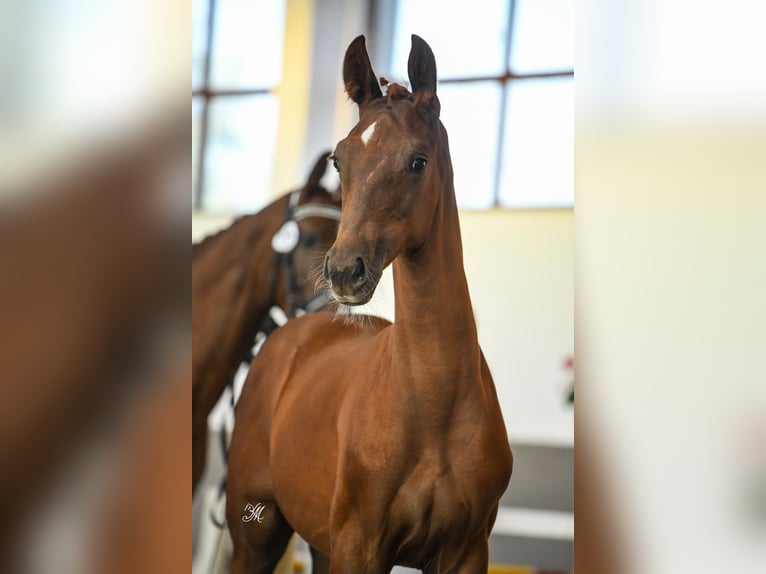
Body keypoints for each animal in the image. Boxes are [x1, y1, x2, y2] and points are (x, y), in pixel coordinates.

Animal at [228, 36, 516, 574]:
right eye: (340, 161)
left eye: (418, 160)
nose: (344, 271)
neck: (432, 406)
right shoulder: (359, 545)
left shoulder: (466, 551)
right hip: (257, 531)